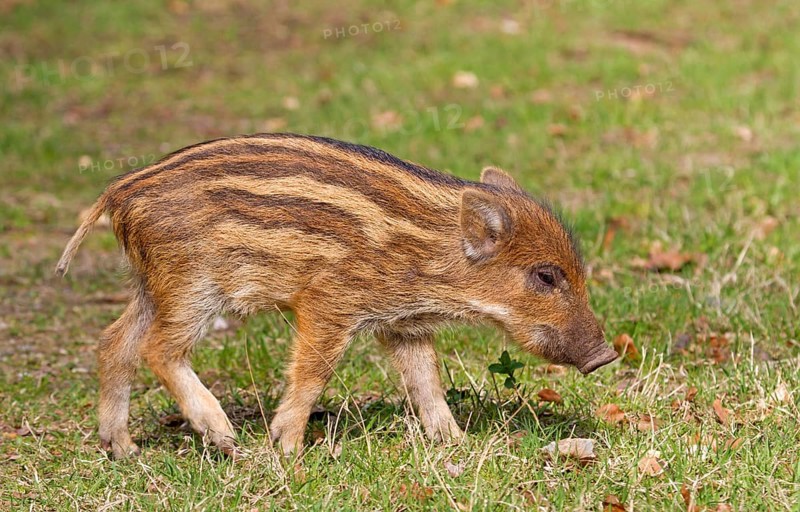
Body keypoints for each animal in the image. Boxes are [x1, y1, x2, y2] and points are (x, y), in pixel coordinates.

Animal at [56, 133, 618, 459]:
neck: (429, 255)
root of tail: (118, 193)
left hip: (154, 285)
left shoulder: (404, 325)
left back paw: (123, 449)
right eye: (545, 276)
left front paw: (457, 443)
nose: (607, 355)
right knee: (158, 349)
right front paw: (288, 450)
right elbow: (314, 372)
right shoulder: (328, 302)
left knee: (114, 344)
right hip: (192, 284)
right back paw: (224, 438)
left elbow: (426, 383)